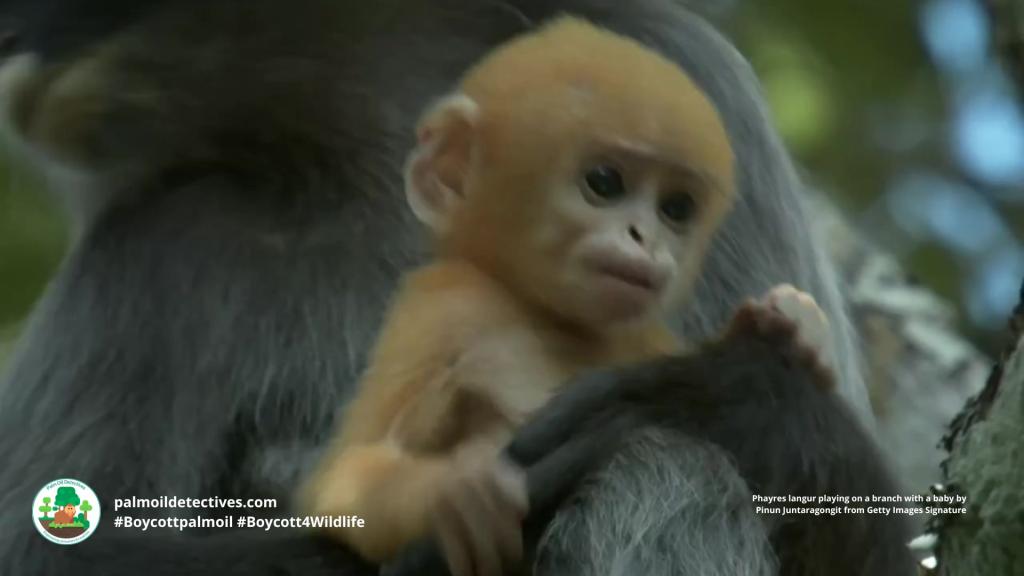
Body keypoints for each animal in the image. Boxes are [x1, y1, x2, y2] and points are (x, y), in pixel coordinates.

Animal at [294, 15, 806, 573]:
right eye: (604, 181)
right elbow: (345, 478)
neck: (552, 318)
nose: (644, 238)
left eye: (676, 207)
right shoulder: (444, 308)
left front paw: (792, 326)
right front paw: (461, 491)